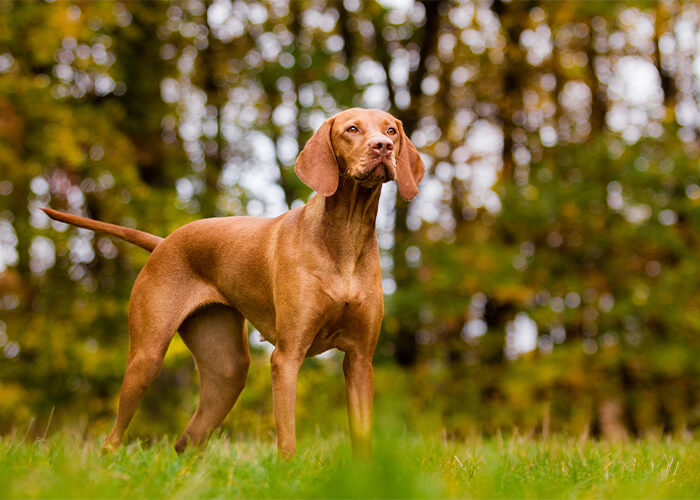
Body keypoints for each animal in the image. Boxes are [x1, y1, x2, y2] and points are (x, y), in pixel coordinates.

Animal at [46, 107, 426, 458]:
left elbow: (362, 437)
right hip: (147, 356)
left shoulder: (360, 361)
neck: (346, 237)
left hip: (227, 369)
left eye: (391, 130)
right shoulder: (286, 356)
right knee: (114, 435)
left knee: (186, 440)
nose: (383, 147)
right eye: (352, 129)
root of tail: (164, 242)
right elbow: (287, 438)